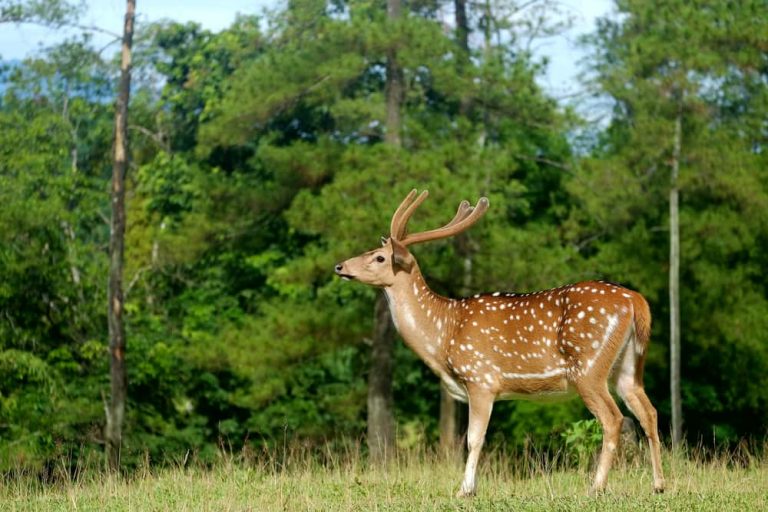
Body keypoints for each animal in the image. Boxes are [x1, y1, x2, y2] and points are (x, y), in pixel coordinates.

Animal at [332, 189, 664, 496]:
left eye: (379, 257)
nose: (340, 266)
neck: (443, 335)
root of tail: (635, 301)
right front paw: (470, 487)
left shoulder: (480, 378)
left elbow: (473, 438)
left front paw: (465, 490)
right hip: (628, 367)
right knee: (648, 412)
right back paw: (658, 484)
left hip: (588, 367)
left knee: (614, 419)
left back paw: (596, 487)